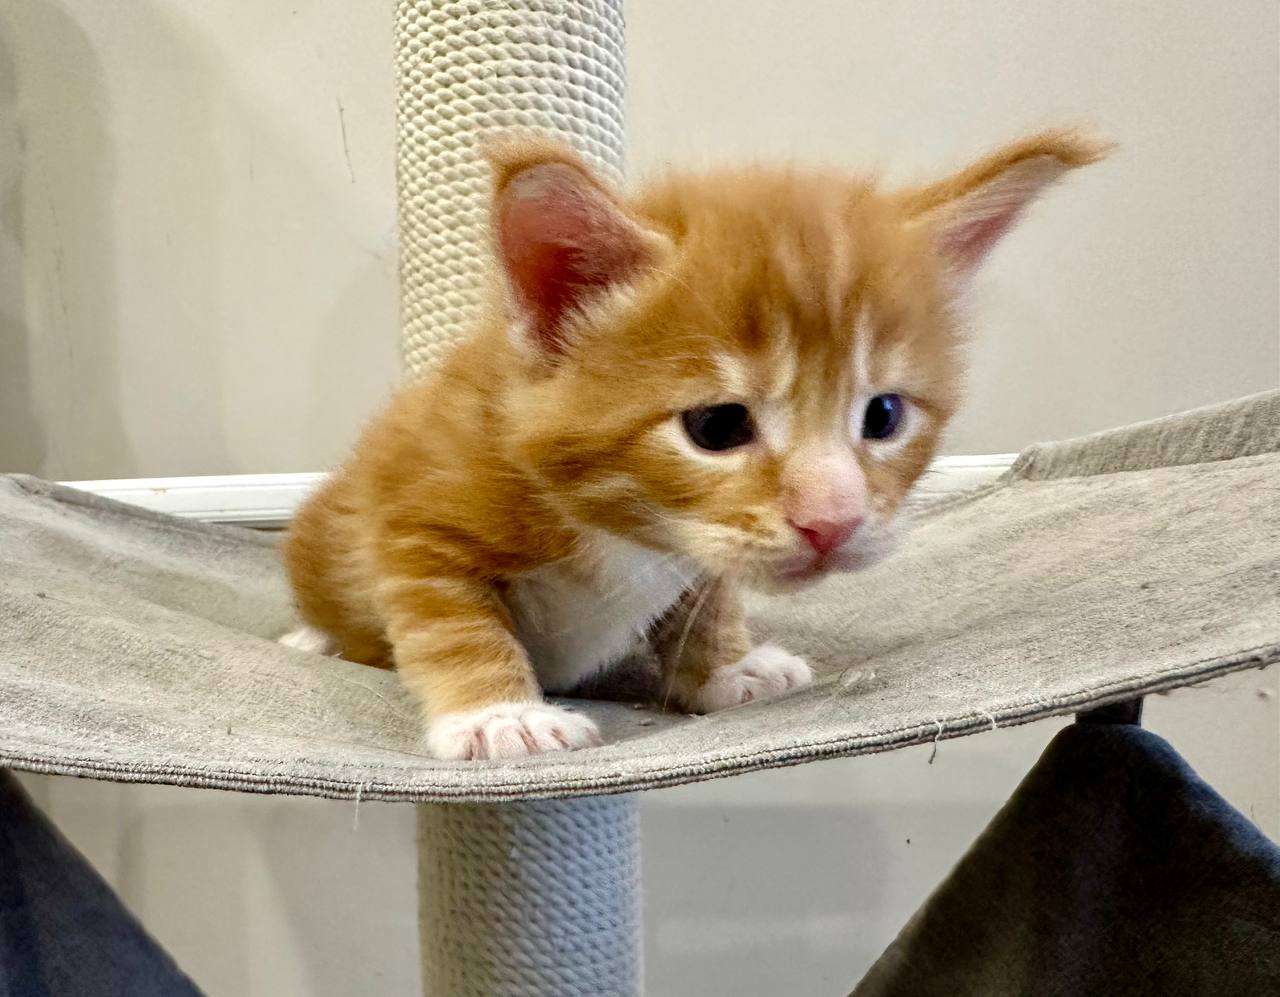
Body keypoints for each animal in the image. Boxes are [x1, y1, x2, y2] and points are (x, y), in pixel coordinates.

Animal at [281, 129, 1105, 760]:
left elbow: (710, 599)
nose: (833, 523)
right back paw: (312, 639)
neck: (621, 528)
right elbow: (451, 620)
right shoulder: (416, 517)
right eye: (716, 428)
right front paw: (500, 716)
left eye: (884, 415)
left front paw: (727, 668)